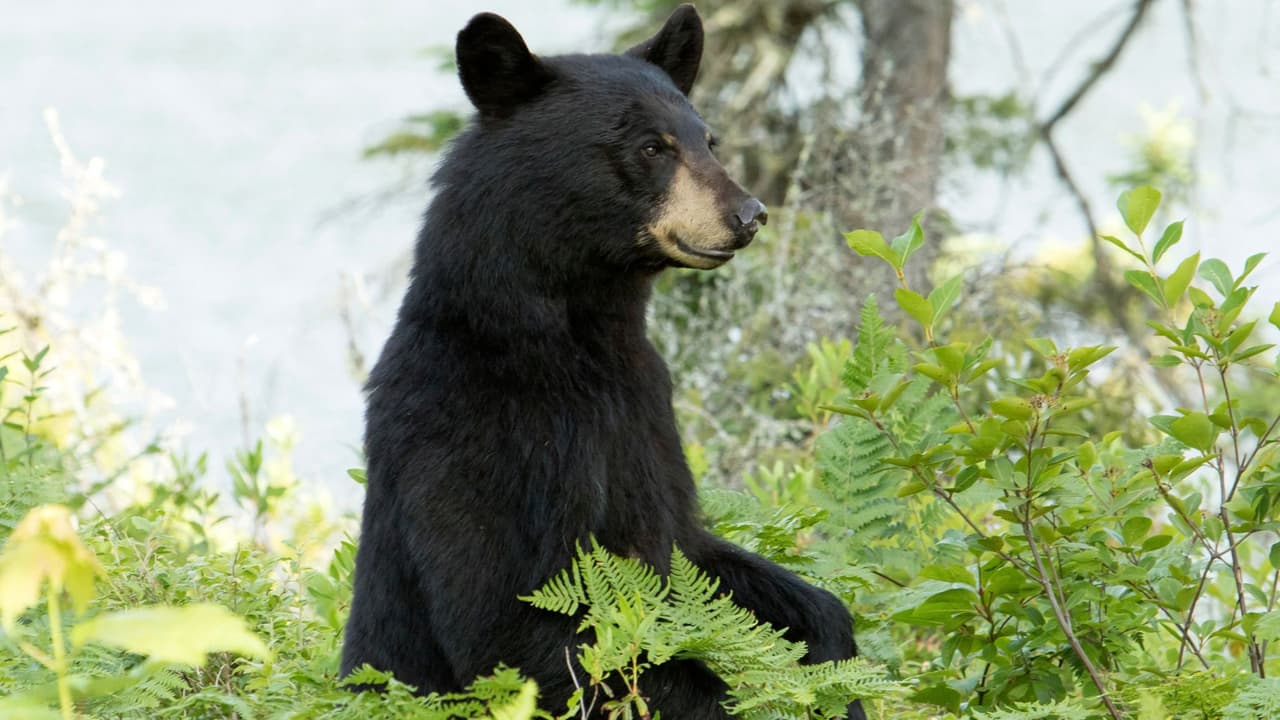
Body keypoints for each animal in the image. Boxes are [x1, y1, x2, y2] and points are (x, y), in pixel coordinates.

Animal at [340, 6, 865, 719]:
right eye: (651, 147)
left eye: (709, 140)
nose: (750, 213)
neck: (575, 339)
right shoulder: (478, 429)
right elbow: (505, 617)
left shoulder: (647, 412)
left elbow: (696, 552)